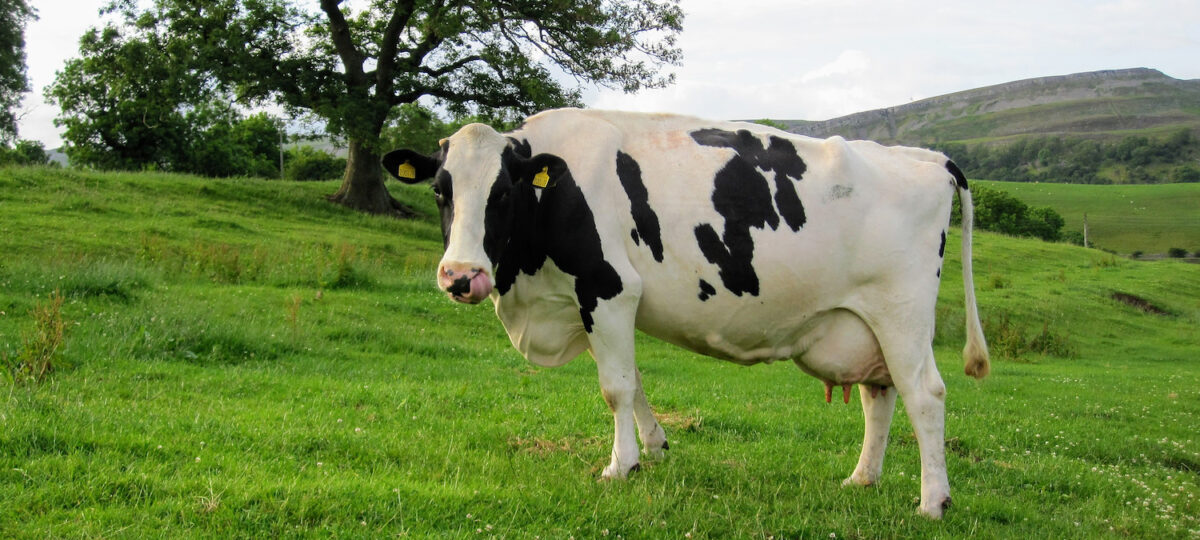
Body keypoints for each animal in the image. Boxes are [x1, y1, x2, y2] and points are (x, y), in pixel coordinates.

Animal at [386, 108, 993, 518]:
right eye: (440, 190)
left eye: (504, 193)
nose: (461, 275)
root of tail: (927, 156)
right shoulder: (595, 304)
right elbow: (634, 381)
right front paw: (654, 448)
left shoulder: (609, 288)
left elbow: (615, 388)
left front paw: (619, 466)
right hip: (865, 321)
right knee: (879, 395)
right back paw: (862, 479)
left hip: (902, 313)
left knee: (924, 394)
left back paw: (933, 501)